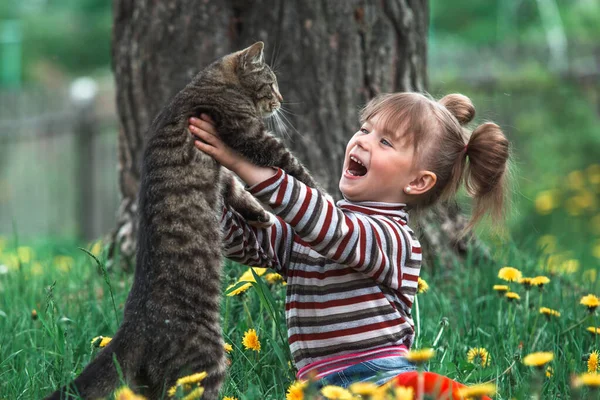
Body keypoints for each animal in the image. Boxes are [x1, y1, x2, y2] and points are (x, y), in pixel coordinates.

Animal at [46, 42, 316, 398]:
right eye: (271, 83)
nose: (281, 100)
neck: (210, 83)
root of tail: (131, 327)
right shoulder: (250, 133)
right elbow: (291, 165)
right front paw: (321, 191)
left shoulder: (224, 170)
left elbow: (237, 189)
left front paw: (261, 215)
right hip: (207, 359)